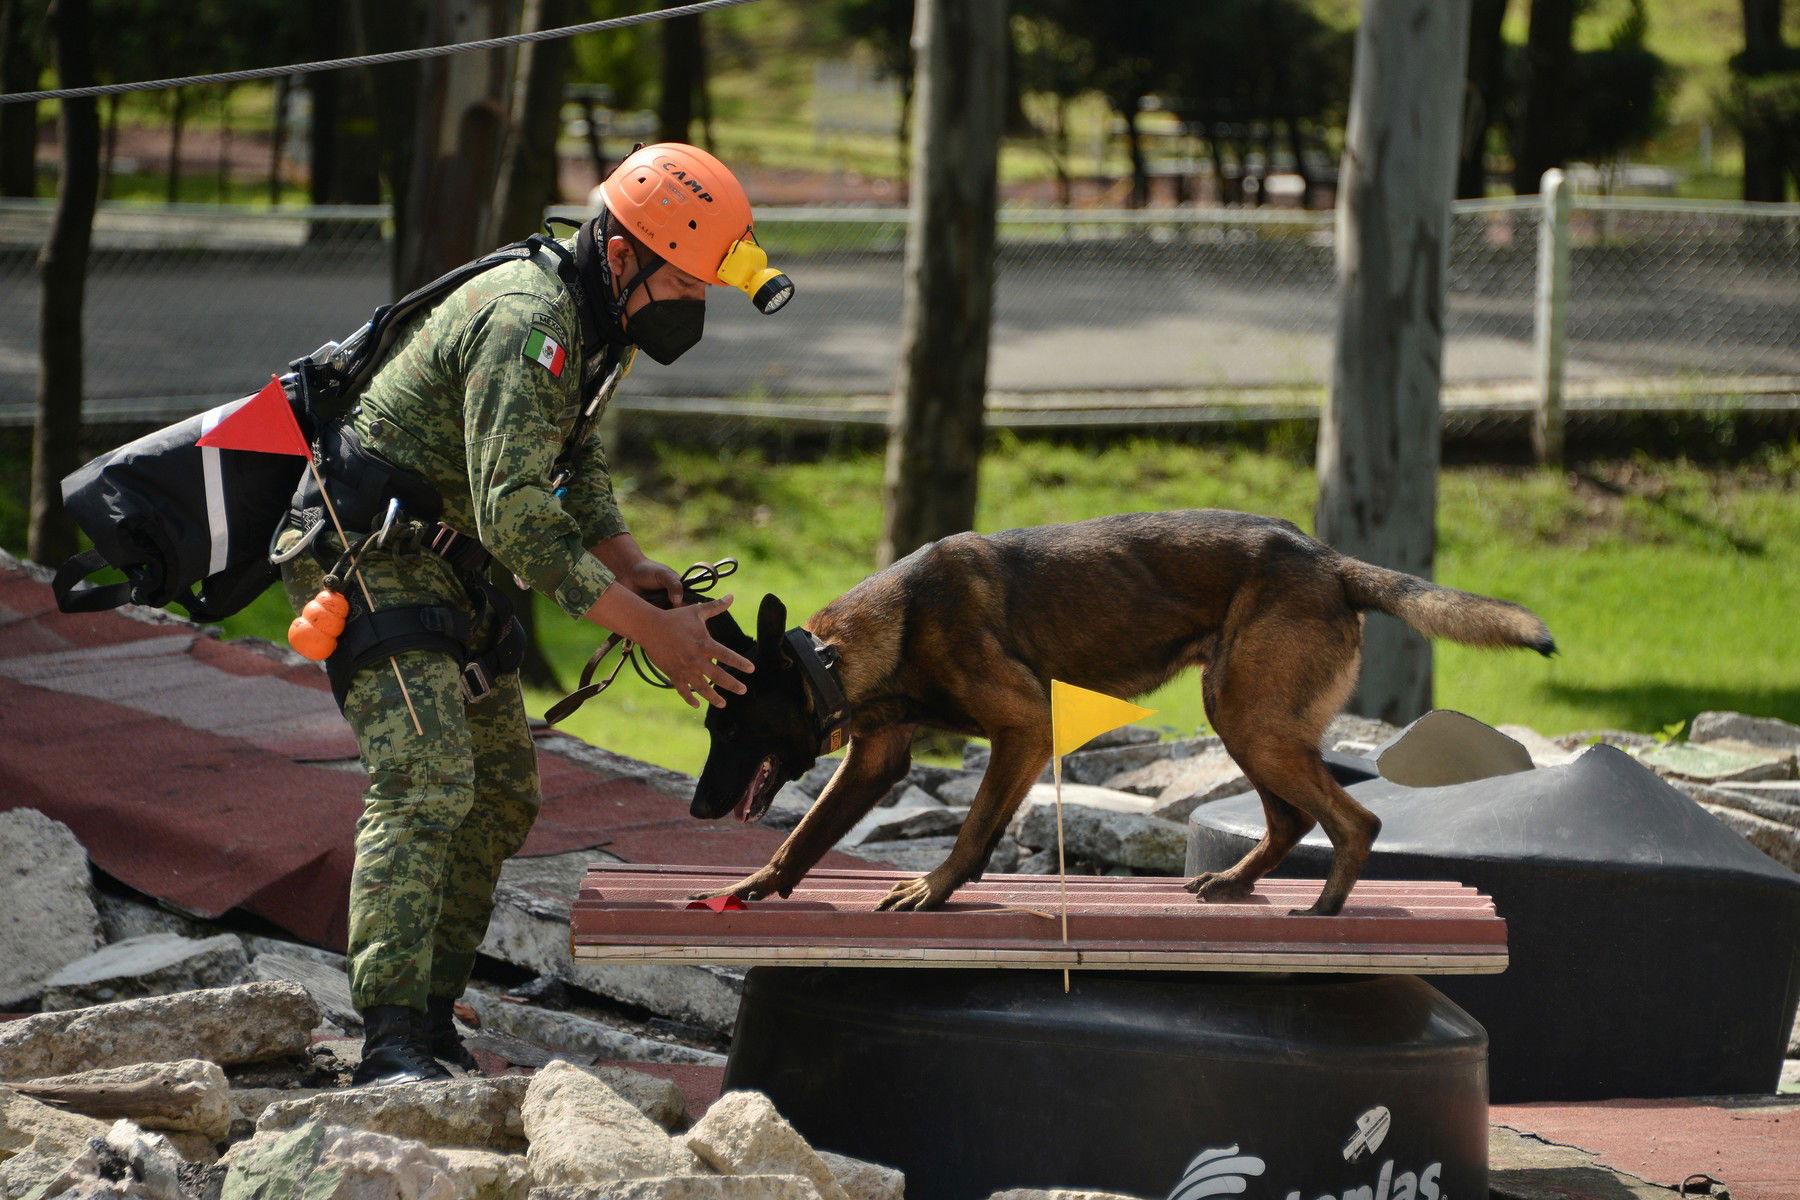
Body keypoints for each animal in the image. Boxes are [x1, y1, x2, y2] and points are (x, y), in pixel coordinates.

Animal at [687, 510, 1548, 913]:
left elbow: (974, 827)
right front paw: (758, 884)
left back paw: (1327, 909)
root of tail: (1330, 561)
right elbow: (804, 834)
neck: (845, 653)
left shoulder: (1024, 728)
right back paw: (1234, 882)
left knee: (1354, 821)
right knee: (1293, 819)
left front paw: (934, 889)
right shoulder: (876, 760)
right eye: (710, 727)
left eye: (733, 727)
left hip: (1252, 722)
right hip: (1244, 720)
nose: (696, 810)